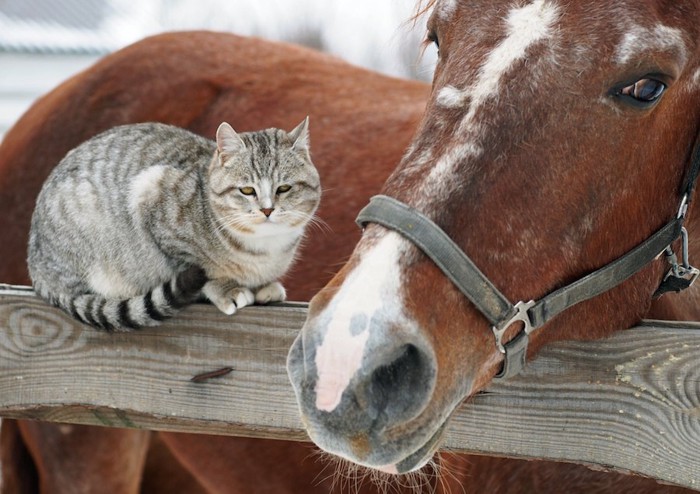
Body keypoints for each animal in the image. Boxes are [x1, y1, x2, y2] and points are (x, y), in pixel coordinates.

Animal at [27, 117, 322, 330]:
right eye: (247, 190)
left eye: (284, 188)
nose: (267, 209)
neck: (262, 247)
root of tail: (38, 267)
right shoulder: (153, 200)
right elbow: (192, 266)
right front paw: (224, 288)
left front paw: (264, 286)